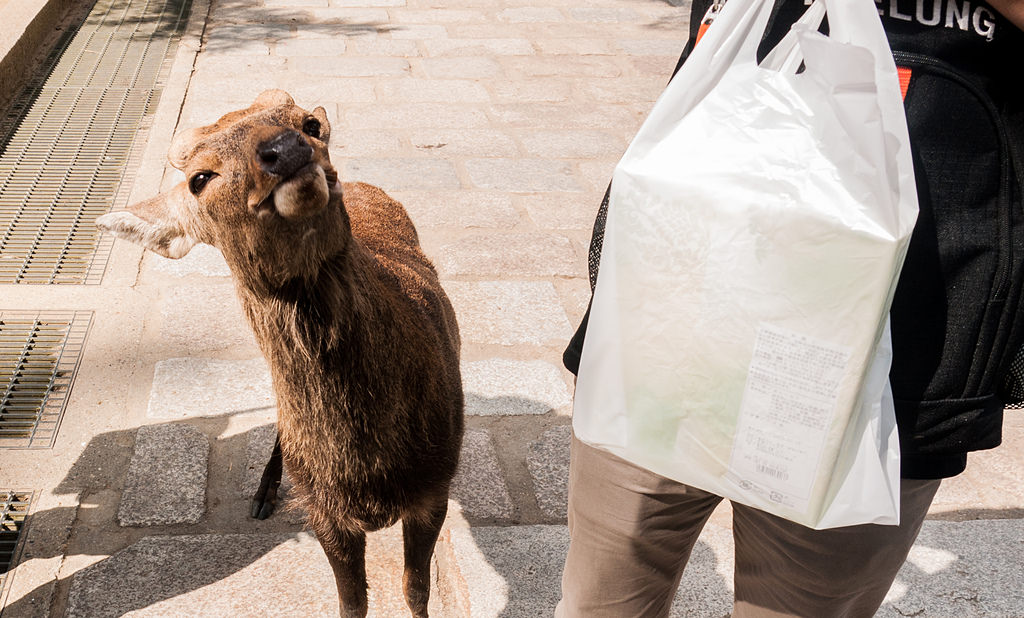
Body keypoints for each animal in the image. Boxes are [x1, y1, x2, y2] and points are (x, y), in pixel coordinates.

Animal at [96, 89, 464, 613]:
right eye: (199, 179)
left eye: (309, 124)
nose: (286, 149)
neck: (367, 472)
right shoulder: (323, 514)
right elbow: (352, 602)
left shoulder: (434, 487)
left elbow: (415, 590)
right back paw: (264, 493)